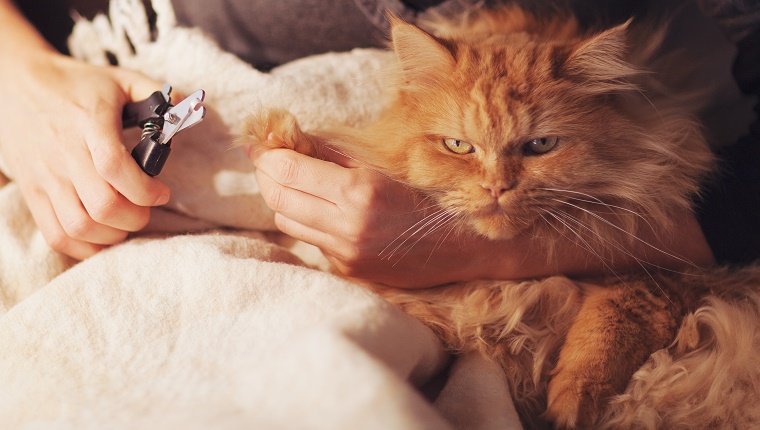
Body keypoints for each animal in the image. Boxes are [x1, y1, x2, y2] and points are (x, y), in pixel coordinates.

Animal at [240, 6, 756, 430]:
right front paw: (276, 135)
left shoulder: (667, 277)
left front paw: (571, 405)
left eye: (541, 145)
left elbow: (605, 332)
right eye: (458, 146)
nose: (496, 187)